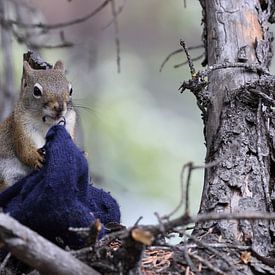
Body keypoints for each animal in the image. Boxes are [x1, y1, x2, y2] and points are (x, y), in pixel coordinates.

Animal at [0, 59, 76, 192]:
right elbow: (24, 150)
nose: (60, 107)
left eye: (71, 90)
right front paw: (35, 157)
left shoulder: (70, 123)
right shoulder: (20, 127)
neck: (47, 123)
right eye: (36, 91)